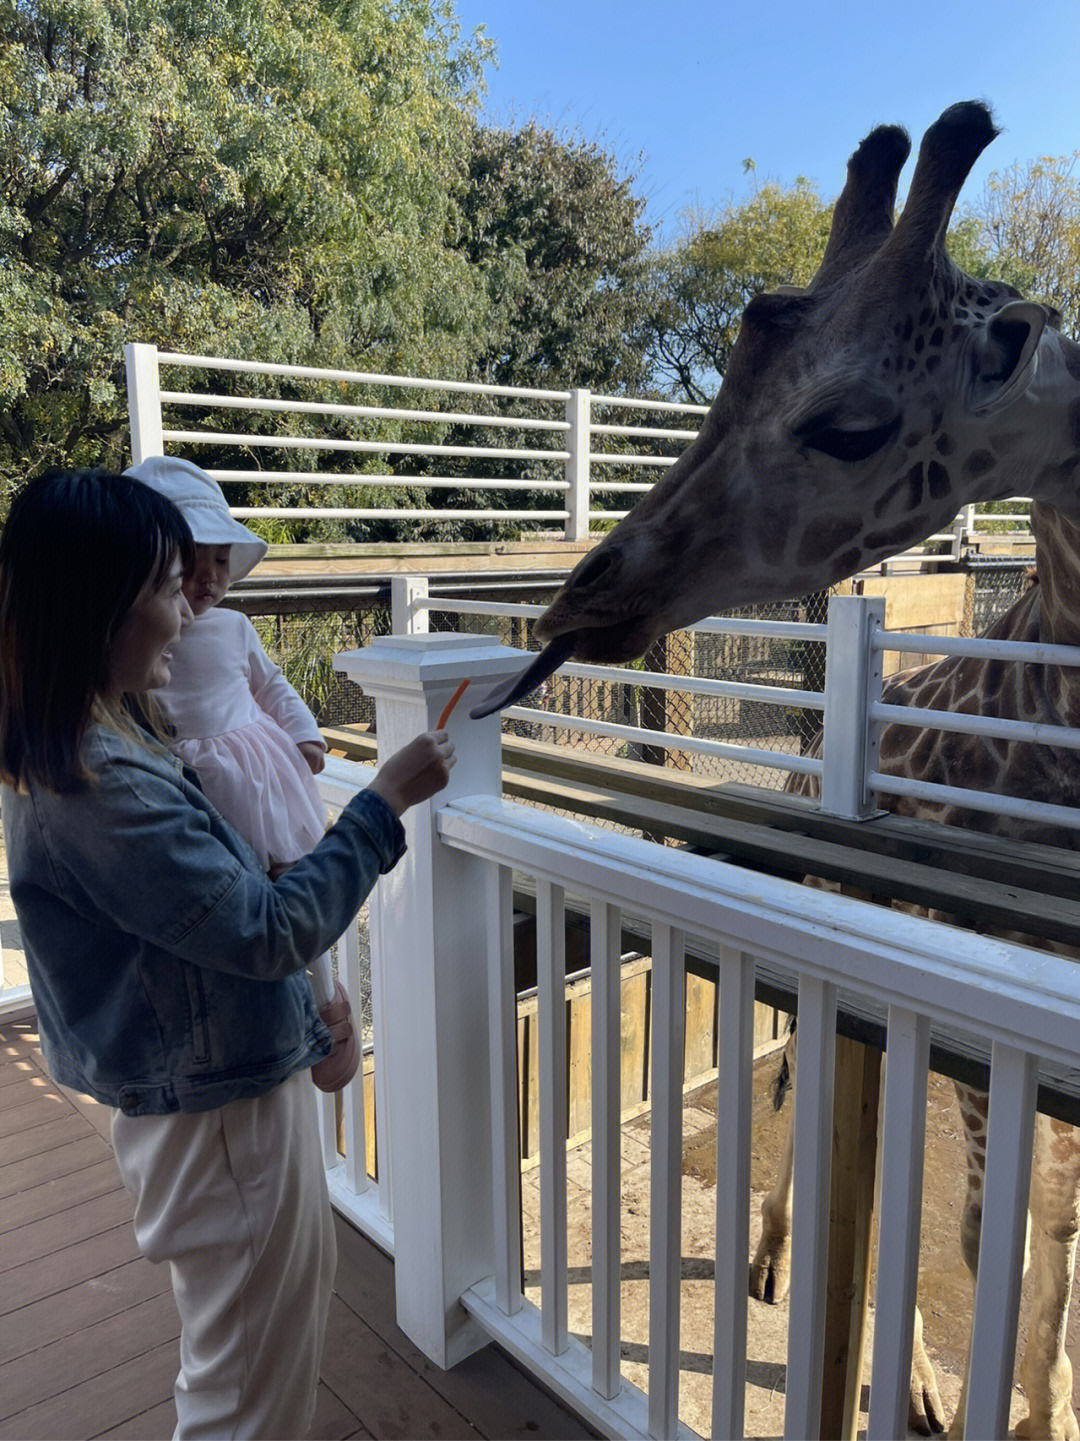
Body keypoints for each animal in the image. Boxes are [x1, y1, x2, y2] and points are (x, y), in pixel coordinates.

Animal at [472, 104, 1080, 1441]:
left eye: (848, 424)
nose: (580, 597)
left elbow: (1052, 1236)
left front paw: (1039, 1415)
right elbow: (991, 1235)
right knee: (833, 1107)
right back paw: (812, 1301)